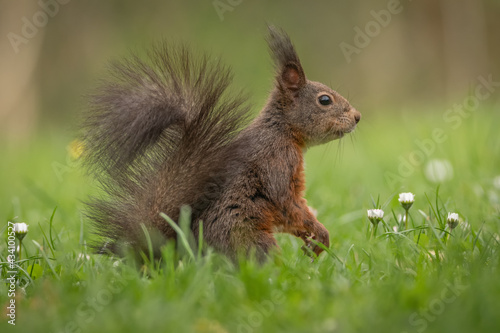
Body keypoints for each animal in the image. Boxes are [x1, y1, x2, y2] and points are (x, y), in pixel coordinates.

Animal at [83, 26, 364, 262]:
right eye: (325, 100)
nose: (357, 117)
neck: (282, 132)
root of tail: (177, 257)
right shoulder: (277, 164)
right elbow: (288, 206)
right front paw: (320, 235)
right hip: (252, 240)